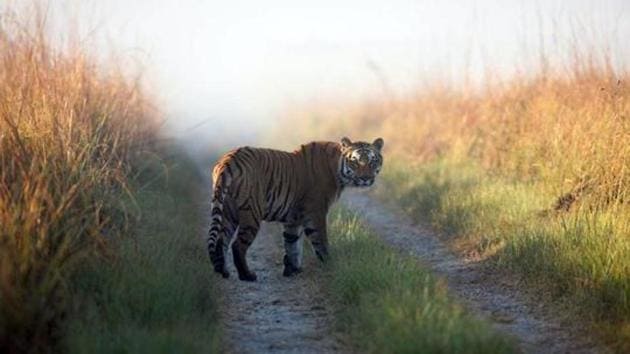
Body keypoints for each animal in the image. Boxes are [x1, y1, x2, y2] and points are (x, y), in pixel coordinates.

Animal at [207, 137, 386, 280]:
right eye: (355, 162)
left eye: (372, 161)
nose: (365, 178)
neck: (338, 170)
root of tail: (228, 161)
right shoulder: (316, 213)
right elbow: (320, 241)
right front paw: (330, 265)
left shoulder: (294, 218)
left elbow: (292, 243)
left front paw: (292, 270)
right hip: (251, 213)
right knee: (237, 245)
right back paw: (247, 275)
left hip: (228, 212)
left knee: (221, 241)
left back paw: (223, 271)